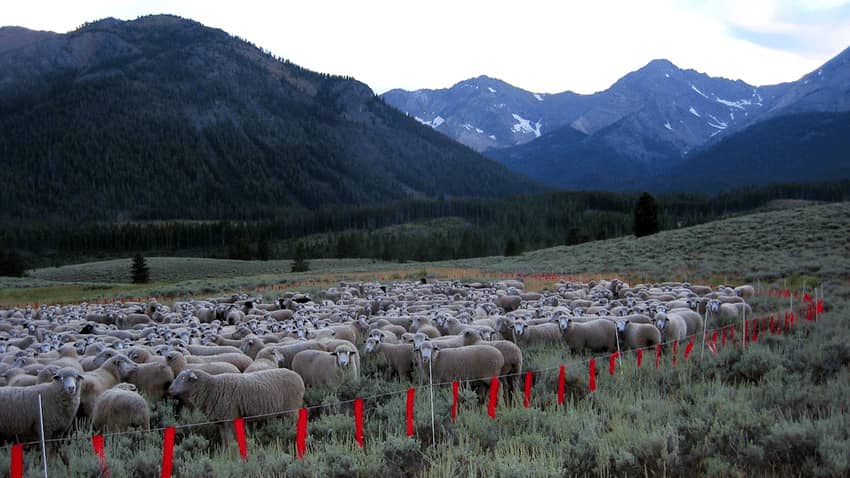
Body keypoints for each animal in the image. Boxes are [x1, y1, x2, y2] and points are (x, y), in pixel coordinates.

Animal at [167, 368, 304, 442]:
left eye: (183, 378)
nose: (170, 389)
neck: (212, 387)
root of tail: (298, 377)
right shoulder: (221, 421)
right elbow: (224, 440)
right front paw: (224, 454)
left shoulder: (230, 418)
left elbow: (231, 439)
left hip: (292, 408)